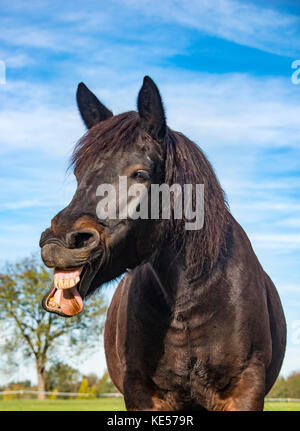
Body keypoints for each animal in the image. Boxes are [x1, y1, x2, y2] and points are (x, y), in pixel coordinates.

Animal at [39, 76, 286, 410]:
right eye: (79, 174)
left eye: (141, 174)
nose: (59, 244)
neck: (192, 302)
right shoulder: (142, 393)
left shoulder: (244, 391)